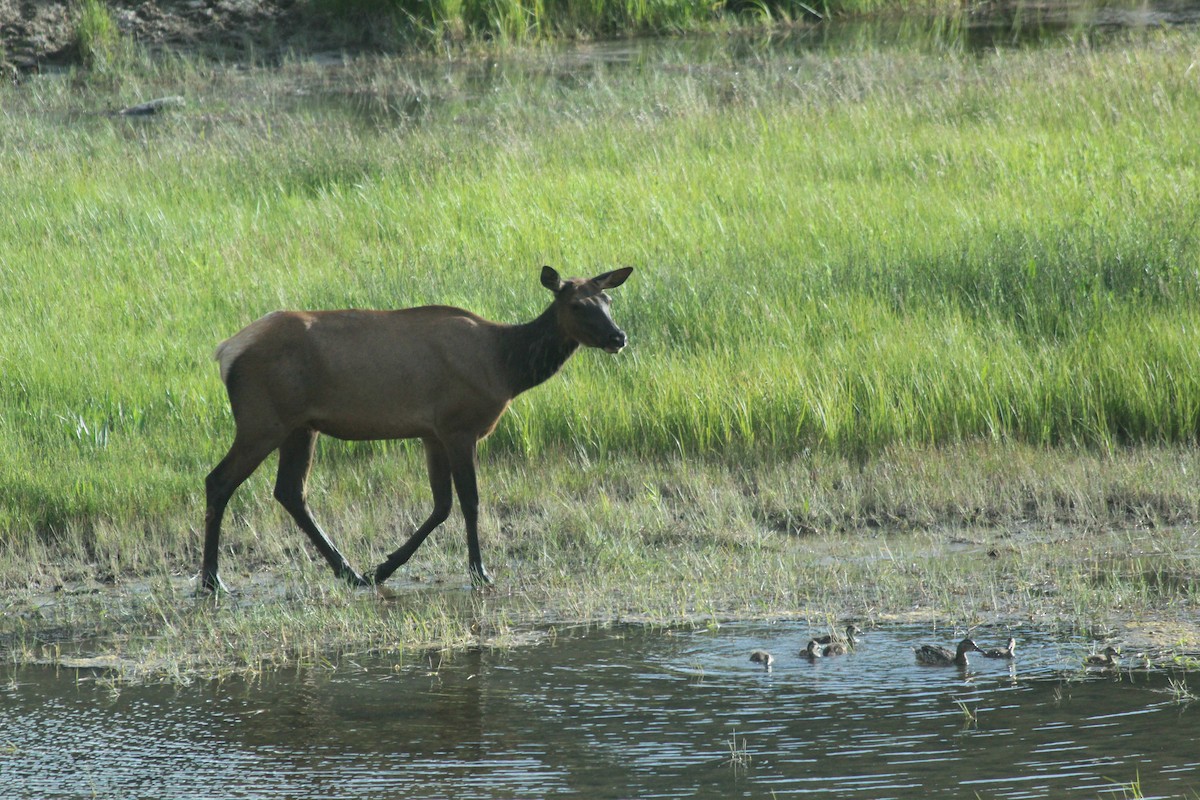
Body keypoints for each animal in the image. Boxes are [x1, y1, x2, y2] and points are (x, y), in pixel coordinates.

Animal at [201, 265, 633, 593]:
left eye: (609, 301)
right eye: (576, 304)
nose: (618, 336)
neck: (506, 367)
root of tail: (224, 352)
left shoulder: (431, 433)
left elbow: (441, 505)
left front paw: (383, 567)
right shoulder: (459, 426)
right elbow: (470, 501)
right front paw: (480, 573)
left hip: (301, 427)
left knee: (290, 491)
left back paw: (350, 572)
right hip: (261, 421)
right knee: (218, 480)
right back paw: (212, 581)